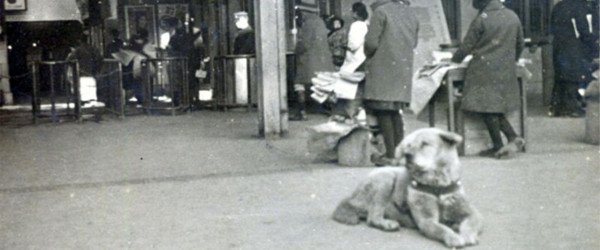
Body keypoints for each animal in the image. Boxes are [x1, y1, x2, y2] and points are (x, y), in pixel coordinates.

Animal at [332, 128, 482, 249]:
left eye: (424, 144)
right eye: (409, 146)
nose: (407, 155)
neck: (437, 185)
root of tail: (351, 197)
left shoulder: (472, 213)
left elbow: (470, 223)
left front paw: (467, 235)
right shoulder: (426, 221)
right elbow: (441, 228)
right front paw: (453, 237)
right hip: (385, 178)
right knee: (372, 217)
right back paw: (386, 224)